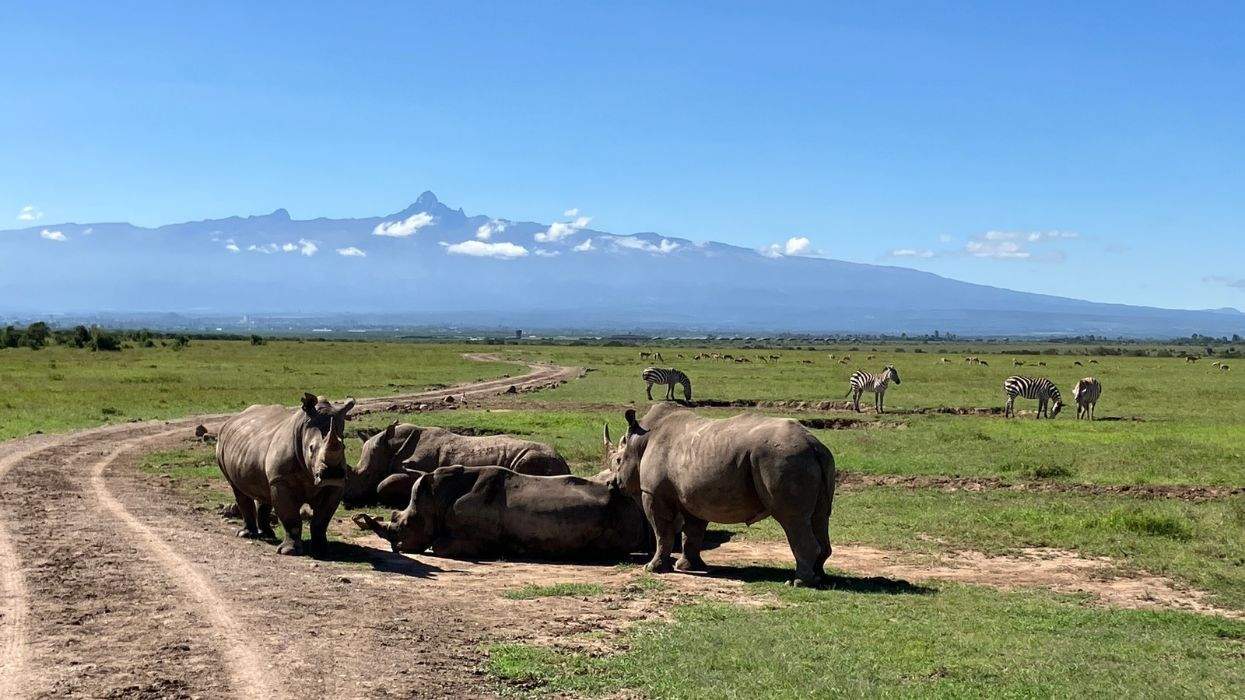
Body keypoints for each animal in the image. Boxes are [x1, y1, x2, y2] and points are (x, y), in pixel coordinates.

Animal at [216, 393, 355, 557]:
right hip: (221, 442)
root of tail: (232, 419)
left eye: (343, 446)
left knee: (264, 489)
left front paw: (322, 550)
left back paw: (267, 535)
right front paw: (289, 551)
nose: (332, 474)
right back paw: (246, 535)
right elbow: (291, 517)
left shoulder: (335, 487)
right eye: (311, 448)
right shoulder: (281, 480)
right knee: (237, 488)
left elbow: (322, 520)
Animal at [344, 422, 571, 506]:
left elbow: (383, 484)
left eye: (367, 475)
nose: (347, 500)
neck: (391, 449)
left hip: (535, 456)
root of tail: (564, 461)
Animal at [605, 403, 835, 586]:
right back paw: (819, 578)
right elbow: (693, 532)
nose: (613, 483)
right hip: (810, 459)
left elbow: (662, 531)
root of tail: (814, 445)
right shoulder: (693, 495)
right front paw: (688, 566)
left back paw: (798, 582)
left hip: (783, 459)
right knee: (819, 517)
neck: (641, 440)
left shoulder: (654, 493)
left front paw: (652, 568)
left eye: (618, 461)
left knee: (792, 519)